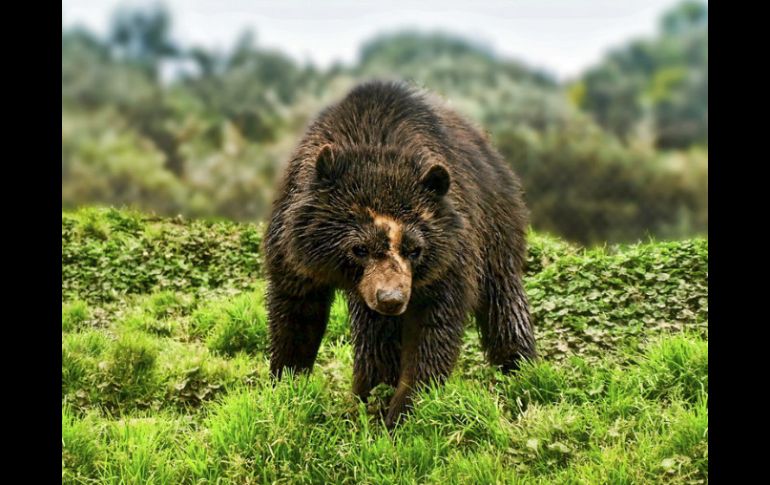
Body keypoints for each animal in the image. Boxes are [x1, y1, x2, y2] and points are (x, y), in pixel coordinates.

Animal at [264, 80, 536, 428]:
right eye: (359, 248)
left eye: (414, 249)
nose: (391, 299)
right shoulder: (294, 249)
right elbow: (296, 311)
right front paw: (286, 385)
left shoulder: (447, 259)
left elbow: (432, 329)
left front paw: (402, 412)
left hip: (496, 224)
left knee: (502, 297)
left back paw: (518, 366)